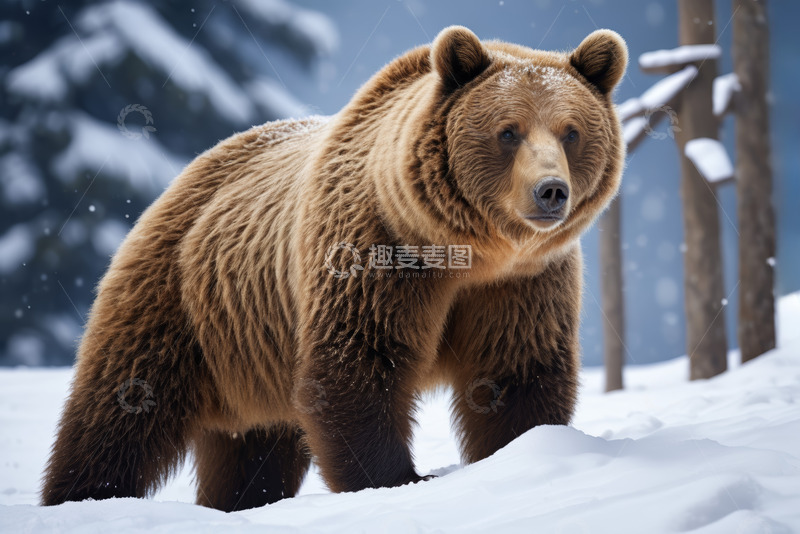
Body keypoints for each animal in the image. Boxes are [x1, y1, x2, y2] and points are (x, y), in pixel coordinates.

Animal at [41, 26, 627, 511]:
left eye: (571, 131)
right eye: (509, 131)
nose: (550, 191)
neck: (464, 250)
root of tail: (188, 173)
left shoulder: (520, 284)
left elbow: (515, 374)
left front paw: (520, 453)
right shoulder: (376, 253)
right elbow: (358, 366)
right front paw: (399, 478)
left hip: (250, 349)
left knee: (251, 451)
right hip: (180, 302)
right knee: (122, 406)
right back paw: (84, 496)